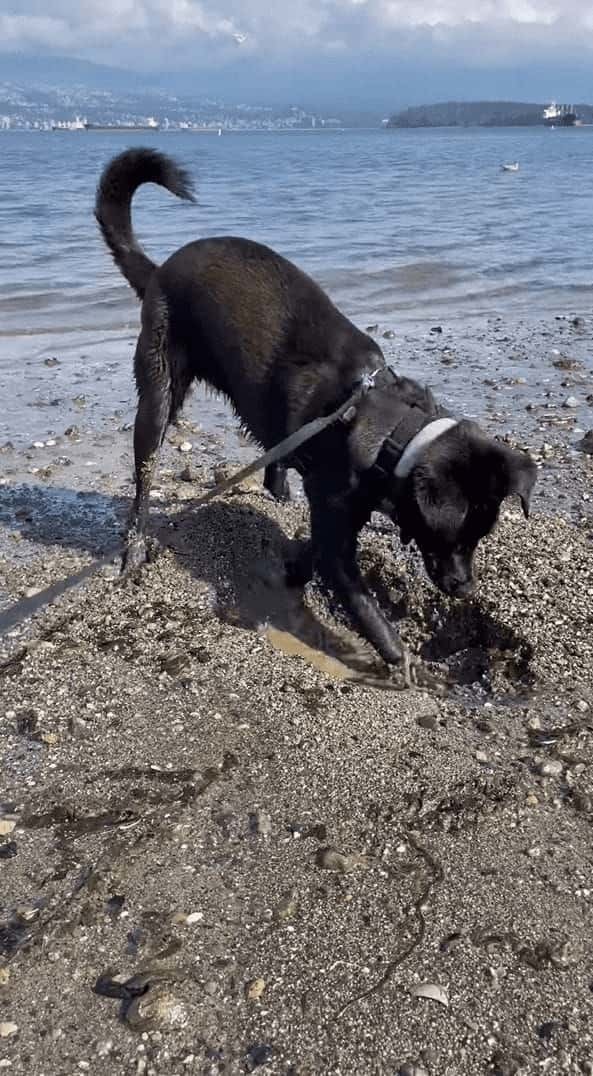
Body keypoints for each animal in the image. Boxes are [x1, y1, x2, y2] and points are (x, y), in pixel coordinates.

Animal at [95, 149, 535, 671]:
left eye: (481, 538)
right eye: (454, 538)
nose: (466, 591)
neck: (393, 432)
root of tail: (160, 268)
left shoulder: (342, 514)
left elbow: (314, 553)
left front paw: (292, 569)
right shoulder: (337, 528)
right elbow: (360, 600)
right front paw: (400, 659)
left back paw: (277, 489)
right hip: (158, 393)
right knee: (143, 480)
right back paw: (134, 548)